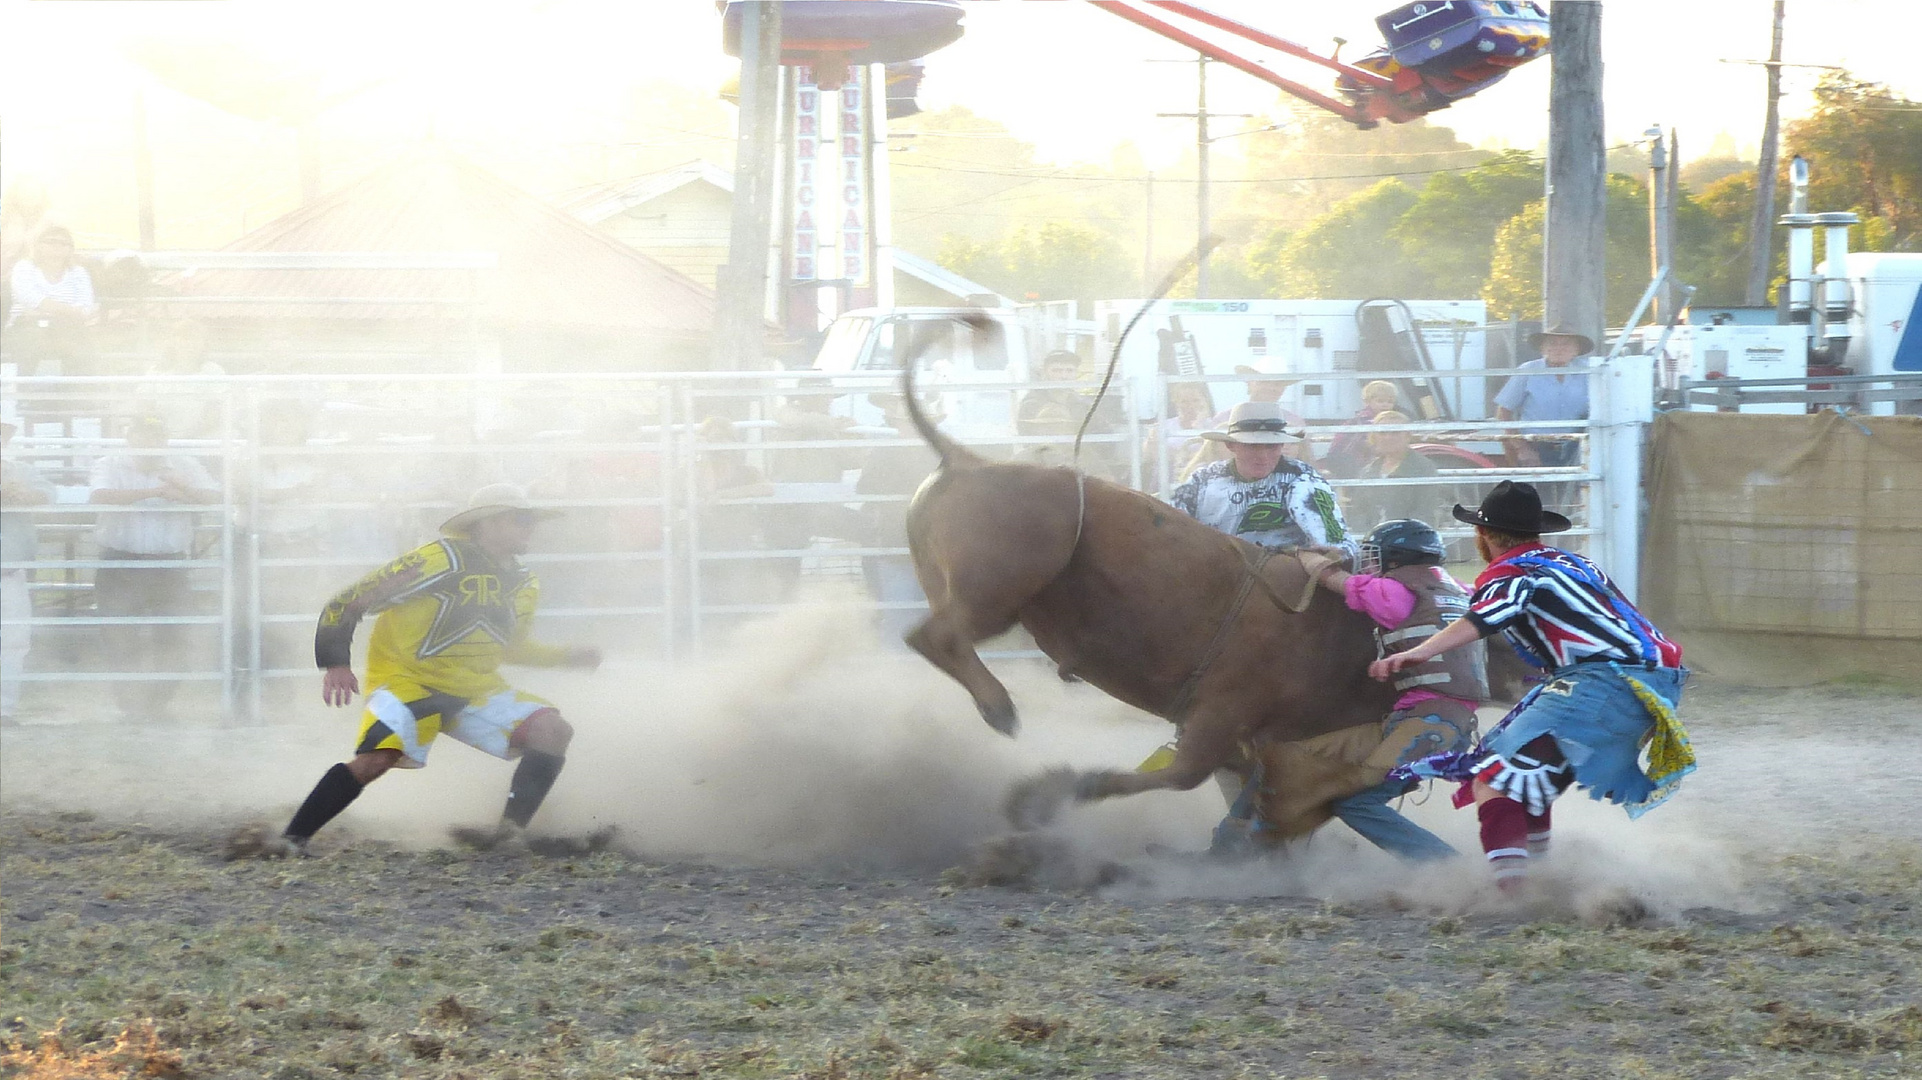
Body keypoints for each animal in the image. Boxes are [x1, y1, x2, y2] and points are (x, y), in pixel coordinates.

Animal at [899, 361, 1399, 834]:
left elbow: (1237, 785)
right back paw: (999, 708)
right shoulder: (1223, 709)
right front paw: (1055, 792)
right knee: (935, 636)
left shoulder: (1243, 735)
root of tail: (968, 460)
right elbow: (1183, 774)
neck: (1337, 632)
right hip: (998, 592)